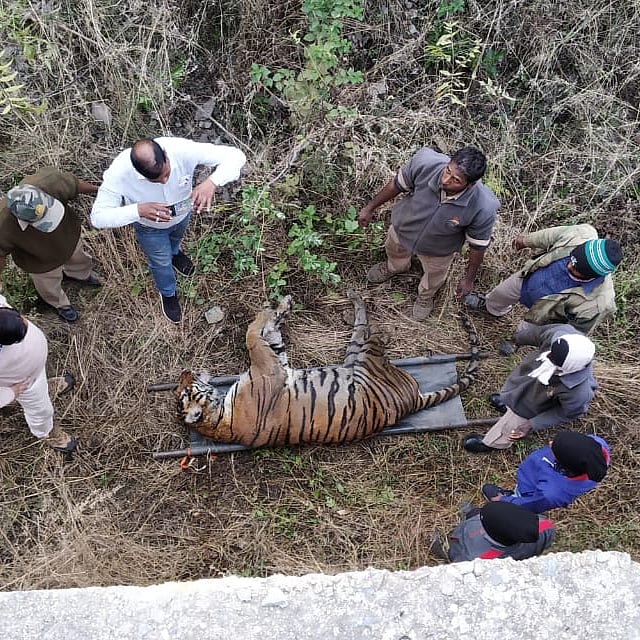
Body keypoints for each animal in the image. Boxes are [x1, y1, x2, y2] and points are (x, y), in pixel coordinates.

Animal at [175, 290, 479, 448]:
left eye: (184, 388)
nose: (184, 372)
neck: (219, 419)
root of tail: (413, 400)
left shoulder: (275, 360)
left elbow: (266, 332)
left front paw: (282, 306)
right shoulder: (269, 367)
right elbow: (253, 334)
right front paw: (273, 308)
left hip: (353, 356)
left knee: (361, 325)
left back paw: (354, 300)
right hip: (366, 359)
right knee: (374, 336)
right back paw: (385, 326)